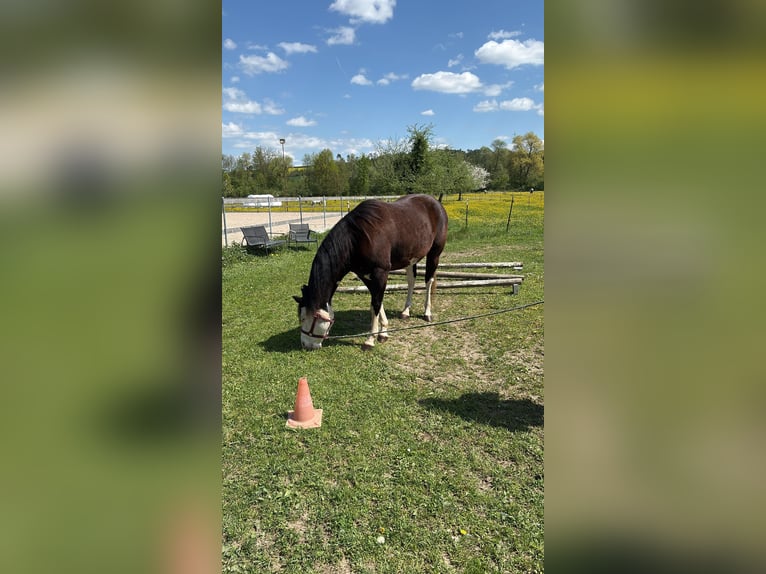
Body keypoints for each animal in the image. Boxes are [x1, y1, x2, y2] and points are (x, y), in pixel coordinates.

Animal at [293, 194, 448, 350]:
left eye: (304, 318)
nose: (305, 345)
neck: (357, 238)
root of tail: (435, 202)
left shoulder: (380, 273)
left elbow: (376, 304)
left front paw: (370, 340)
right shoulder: (366, 275)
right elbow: (376, 301)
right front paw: (383, 332)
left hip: (434, 254)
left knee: (429, 281)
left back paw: (427, 313)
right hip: (411, 258)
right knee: (411, 280)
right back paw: (405, 311)